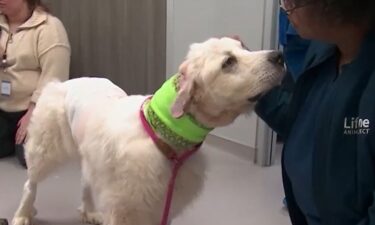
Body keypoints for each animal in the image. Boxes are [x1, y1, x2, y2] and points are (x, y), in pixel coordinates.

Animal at [13, 37, 286, 224]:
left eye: (244, 48)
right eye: (228, 62)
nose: (279, 56)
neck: (164, 135)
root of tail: (62, 83)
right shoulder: (126, 210)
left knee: (84, 183)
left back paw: (89, 211)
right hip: (46, 149)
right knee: (30, 184)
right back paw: (23, 214)